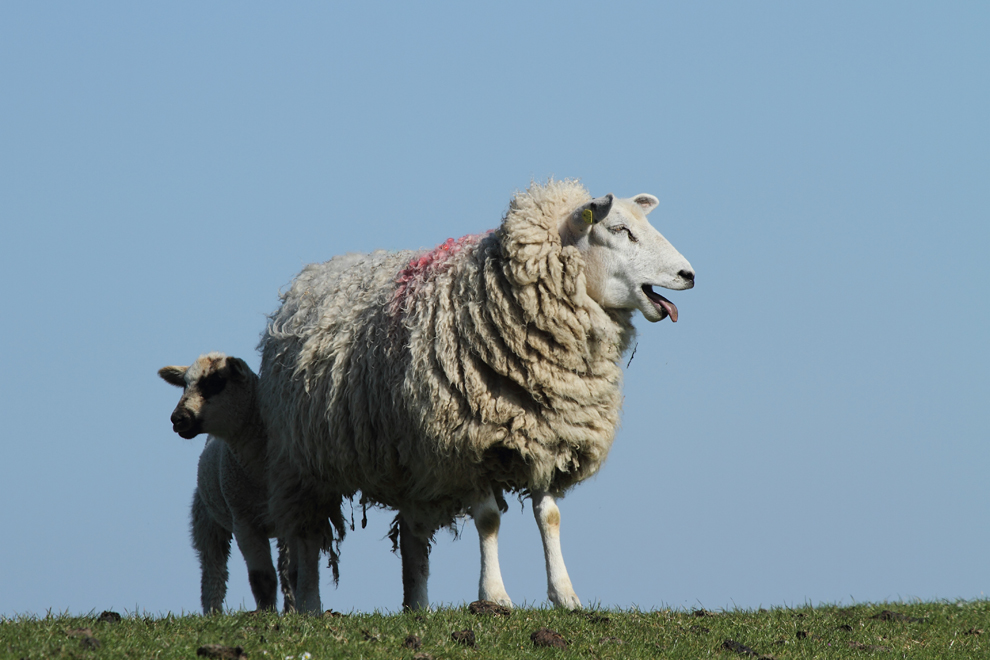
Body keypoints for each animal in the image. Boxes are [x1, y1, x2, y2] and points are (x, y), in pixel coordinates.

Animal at [258, 178, 696, 612]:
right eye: (620, 230)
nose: (688, 274)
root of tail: (310, 277)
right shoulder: (468, 442)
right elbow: (488, 520)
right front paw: (495, 596)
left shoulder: (547, 434)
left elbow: (549, 517)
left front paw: (565, 596)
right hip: (302, 464)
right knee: (307, 535)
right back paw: (311, 606)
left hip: (410, 462)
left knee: (413, 534)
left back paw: (417, 607)